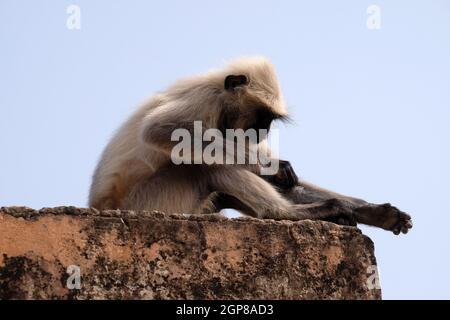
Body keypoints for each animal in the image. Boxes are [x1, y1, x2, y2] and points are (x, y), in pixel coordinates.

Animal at [89, 57, 414, 235]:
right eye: (263, 117)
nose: (265, 130)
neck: (220, 100)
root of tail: (98, 205)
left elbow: (287, 181)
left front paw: (374, 212)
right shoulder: (204, 100)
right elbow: (159, 130)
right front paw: (276, 166)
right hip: (149, 201)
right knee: (204, 165)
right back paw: (284, 214)